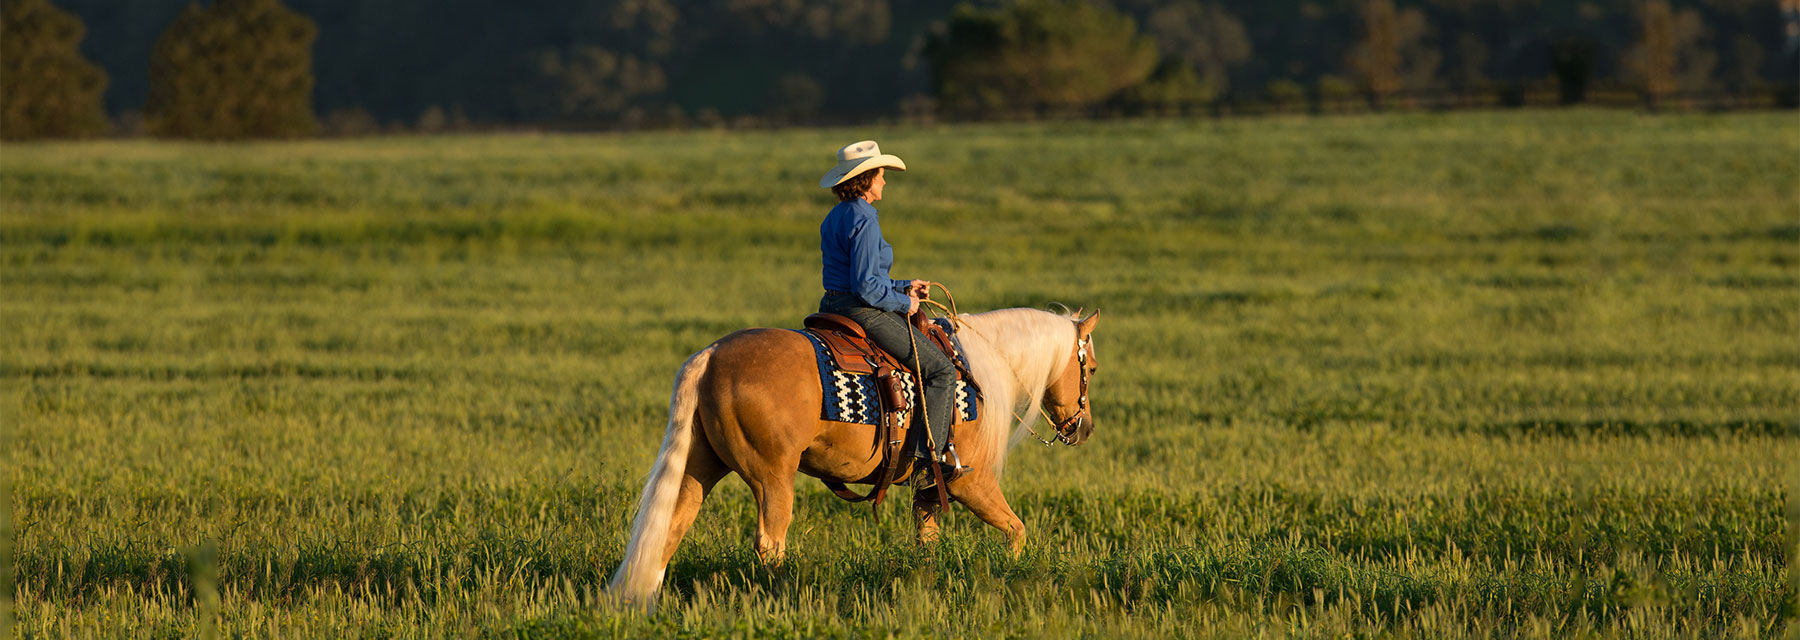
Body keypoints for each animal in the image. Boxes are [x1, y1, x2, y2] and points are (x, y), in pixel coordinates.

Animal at [612, 307, 1101, 604]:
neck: (978, 367)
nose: (1084, 428)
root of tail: (710, 356)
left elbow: (927, 543)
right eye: (1091, 369)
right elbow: (1016, 530)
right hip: (772, 477)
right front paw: (1012, 578)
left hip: (700, 467)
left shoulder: (929, 488)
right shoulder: (969, 481)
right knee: (770, 542)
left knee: (669, 527)